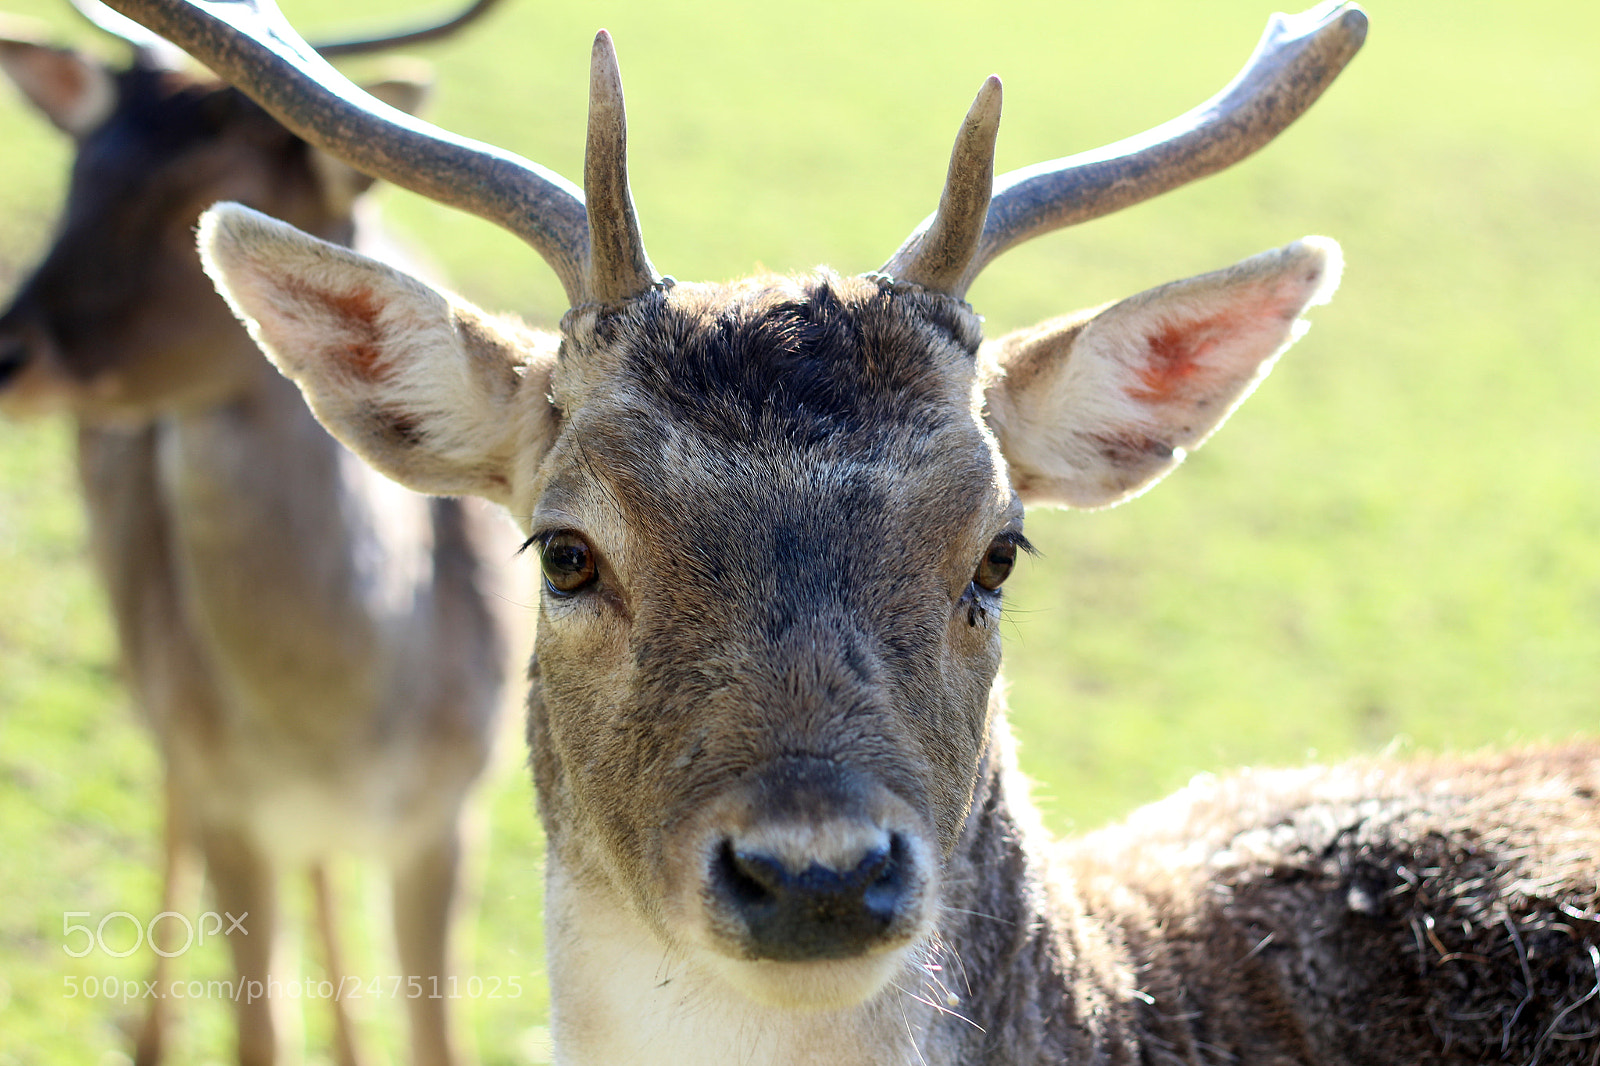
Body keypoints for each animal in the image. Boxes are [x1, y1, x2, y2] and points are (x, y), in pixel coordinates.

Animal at [0, 3, 519, 1064]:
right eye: (75, 176)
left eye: (198, 206)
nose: (6, 353)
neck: (334, 729)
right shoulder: (231, 807)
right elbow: (257, 1032)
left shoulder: (454, 811)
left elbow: (438, 1034)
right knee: (172, 799)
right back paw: (152, 1033)